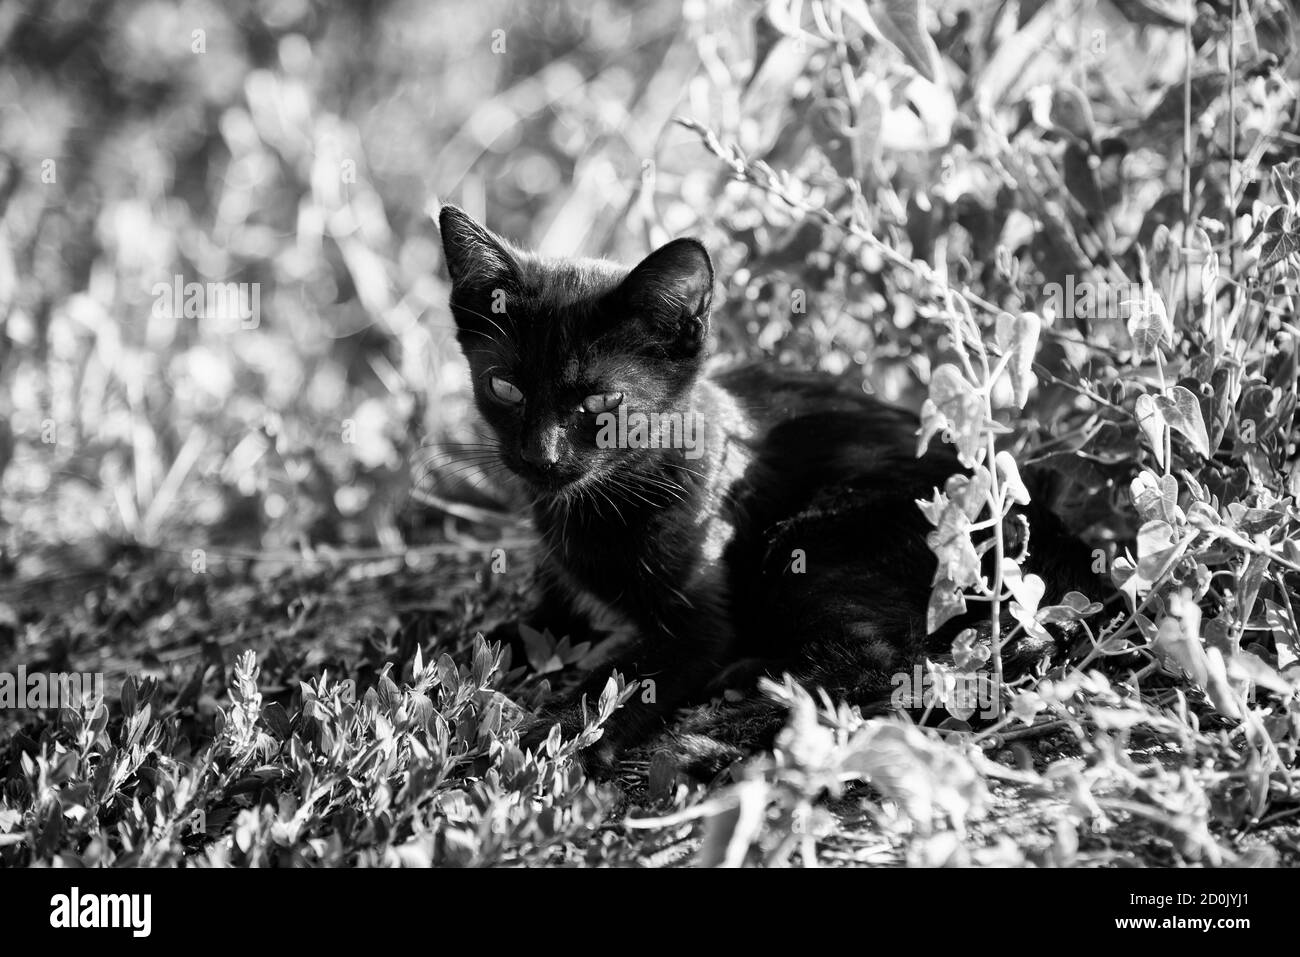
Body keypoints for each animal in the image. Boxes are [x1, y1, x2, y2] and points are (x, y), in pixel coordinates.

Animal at [436, 204, 1097, 780]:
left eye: (601, 401)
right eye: (505, 389)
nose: (539, 457)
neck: (604, 500)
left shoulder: (698, 628)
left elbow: (620, 681)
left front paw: (544, 738)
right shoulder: (558, 603)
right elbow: (492, 638)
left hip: (816, 539)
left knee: (886, 668)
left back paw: (715, 738)